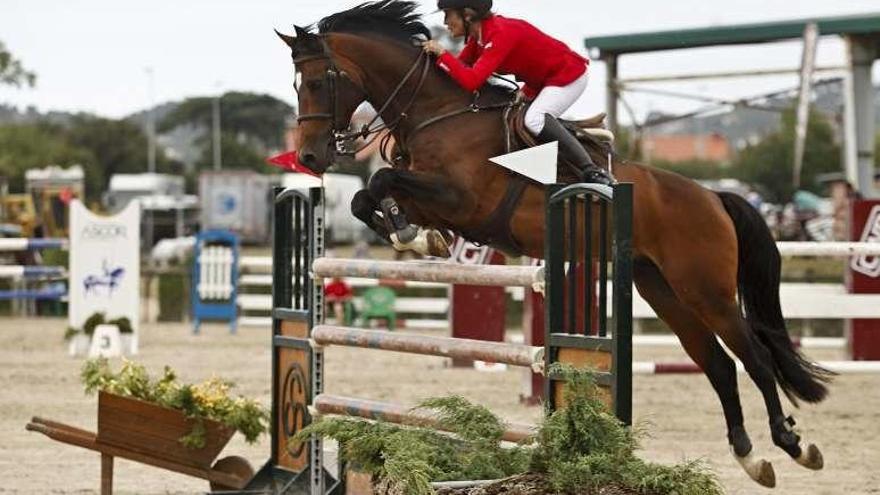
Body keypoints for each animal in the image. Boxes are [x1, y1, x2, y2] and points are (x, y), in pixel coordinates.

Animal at [276, 0, 832, 488]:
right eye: (297, 85)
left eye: (320, 81)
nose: (310, 157)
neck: (439, 113)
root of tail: (713, 196)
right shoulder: (434, 198)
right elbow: (367, 196)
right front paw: (414, 235)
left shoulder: (460, 197)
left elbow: (383, 178)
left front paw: (412, 234)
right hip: (663, 289)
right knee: (717, 364)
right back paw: (749, 457)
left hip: (706, 290)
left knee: (754, 358)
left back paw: (793, 445)